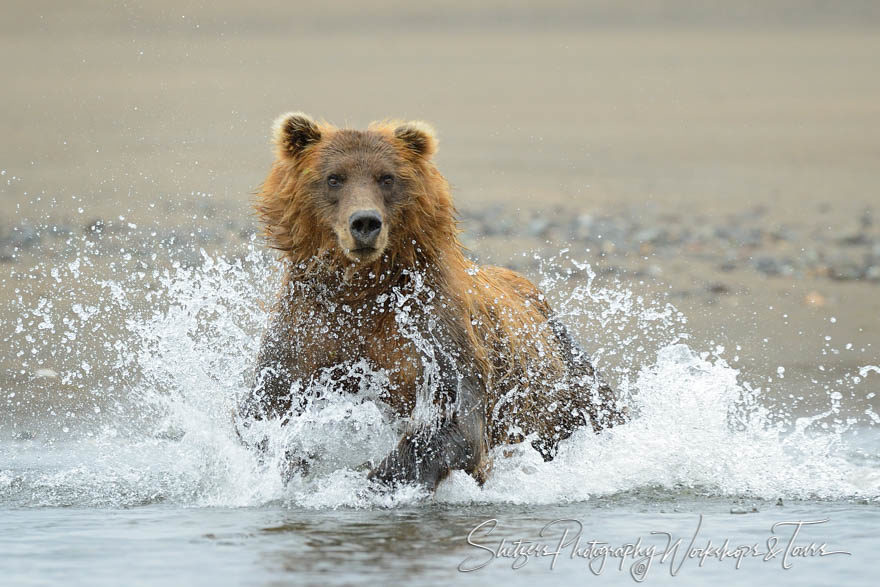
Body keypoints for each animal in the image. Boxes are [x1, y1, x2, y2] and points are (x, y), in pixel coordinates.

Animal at [235, 112, 624, 490]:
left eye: (387, 178)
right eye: (334, 178)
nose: (365, 223)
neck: (361, 289)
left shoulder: (430, 321)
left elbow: (453, 420)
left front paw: (368, 478)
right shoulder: (308, 326)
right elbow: (265, 412)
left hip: (568, 378)